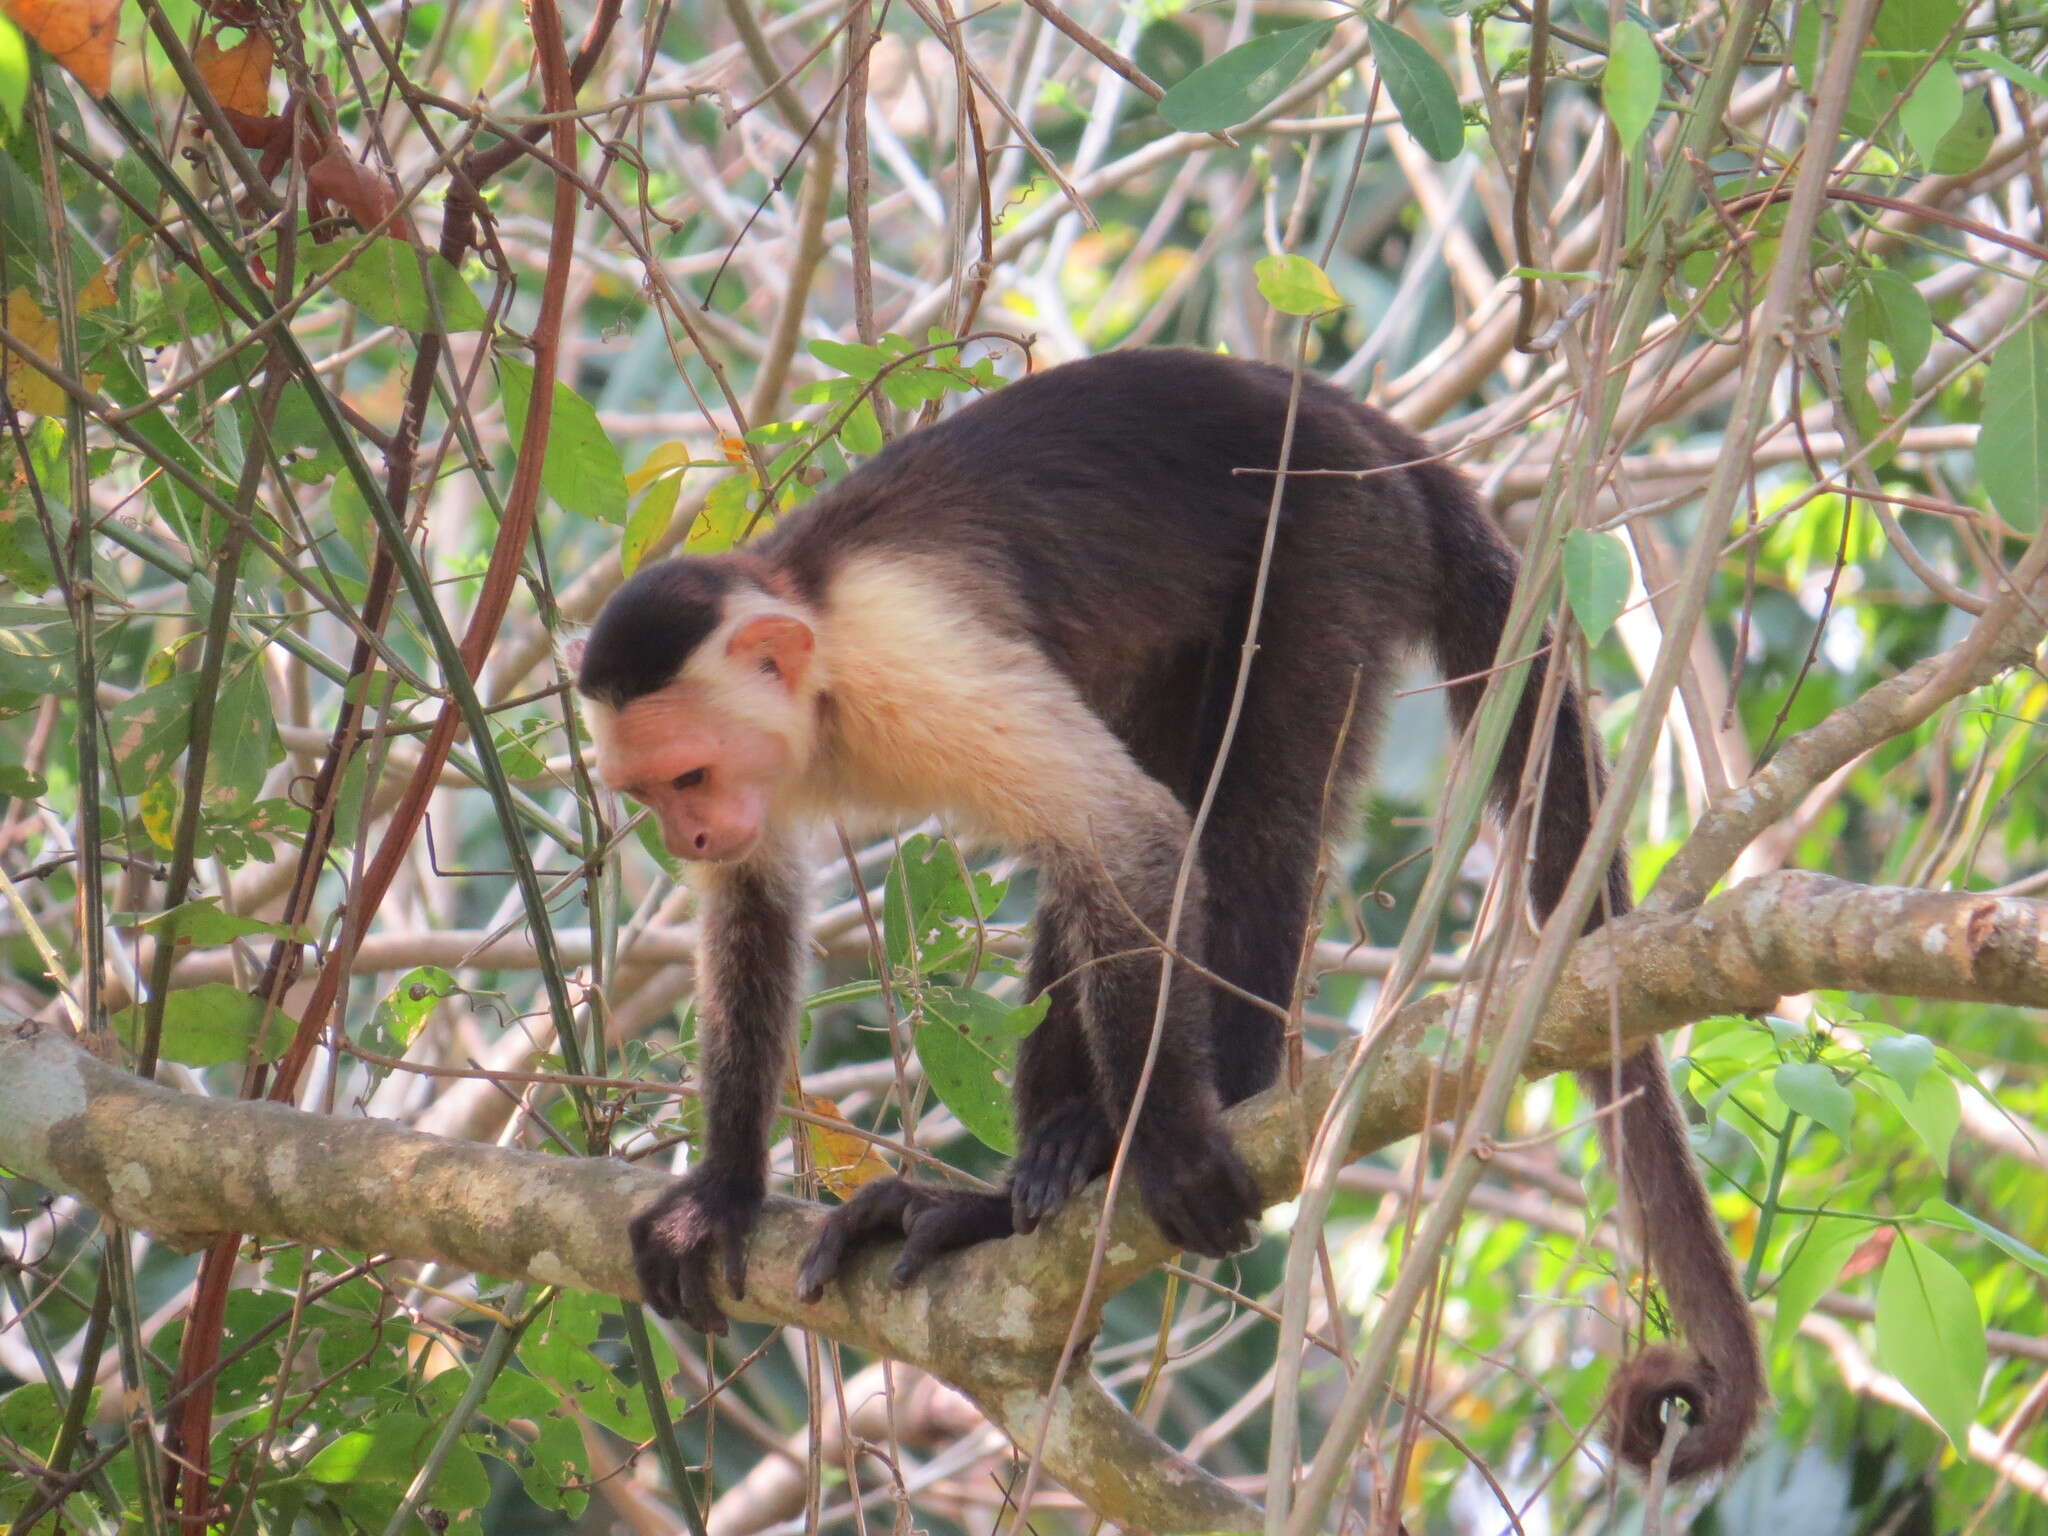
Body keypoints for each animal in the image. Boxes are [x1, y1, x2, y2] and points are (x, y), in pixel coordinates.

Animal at [585, 352, 1769, 1490]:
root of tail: (1364, 425)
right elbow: (755, 908)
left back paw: (1189, 1112)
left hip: (1334, 529)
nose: (689, 837)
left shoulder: (913, 663)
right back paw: (1029, 1176)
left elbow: (1132, 835)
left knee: (1238, 817)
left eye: (689, 777)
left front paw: (1168, 1146)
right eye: (653, 797)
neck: (821, 662)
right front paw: (721, 1195)